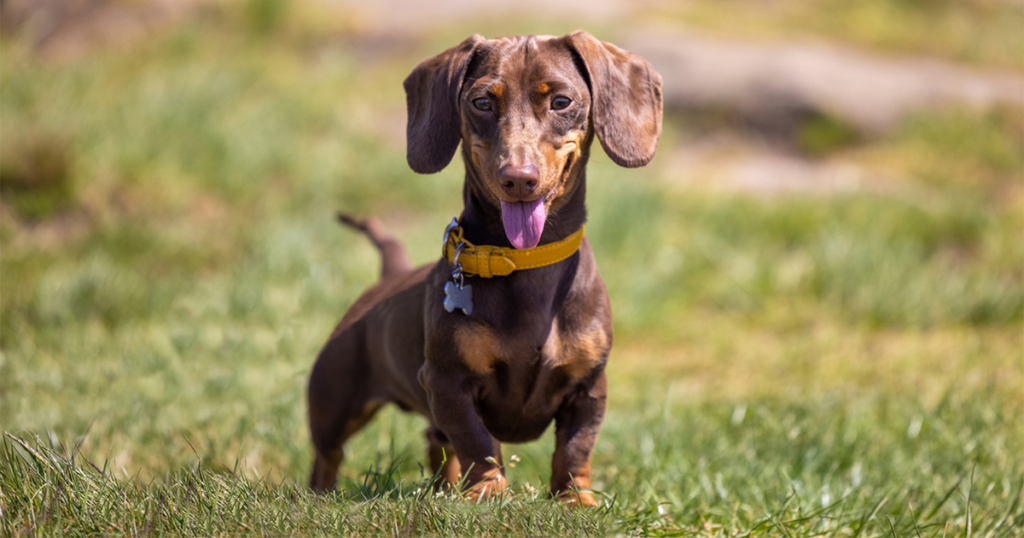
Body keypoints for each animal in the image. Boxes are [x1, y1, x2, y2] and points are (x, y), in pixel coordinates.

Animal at [305, 31, 663, 506]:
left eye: (562, 101)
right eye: (482, 102)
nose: (519, 178)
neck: (526, 260)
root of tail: (389, 276)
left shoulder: (589, 386)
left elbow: (575, 448)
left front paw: (575, 499)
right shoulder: (447, 382)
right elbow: (478, 441)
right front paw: (490, 493)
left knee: (437, 445)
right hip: (334, 401)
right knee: (329, 455)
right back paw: (320, 495)